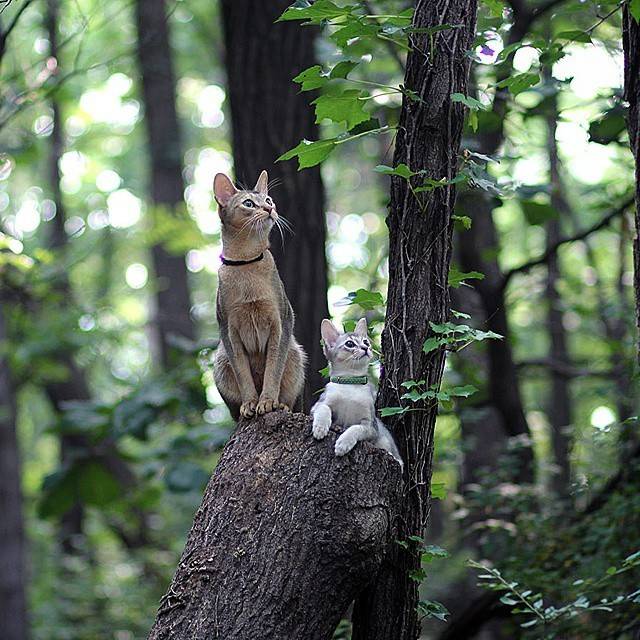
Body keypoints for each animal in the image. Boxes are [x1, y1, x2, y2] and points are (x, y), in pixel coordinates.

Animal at [212, 170, 308, 420]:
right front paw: (250, 403)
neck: (246, 263)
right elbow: (242, 373)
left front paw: (267, 401)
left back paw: (282, 406)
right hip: (220, 361)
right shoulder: (228, 330)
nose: (269, 209)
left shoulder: (281, 321)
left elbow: (273, 369)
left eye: (268, 200)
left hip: (295, 353)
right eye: (248, 203)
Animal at [308, 318, 400, 468]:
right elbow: (324, 409)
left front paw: (343, 444)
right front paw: (320, 428)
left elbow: (356, 428)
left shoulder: (371, 426)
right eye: (350, 344)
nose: (366, 348)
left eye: (366, 341)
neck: (351, 383)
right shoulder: (318, 405)